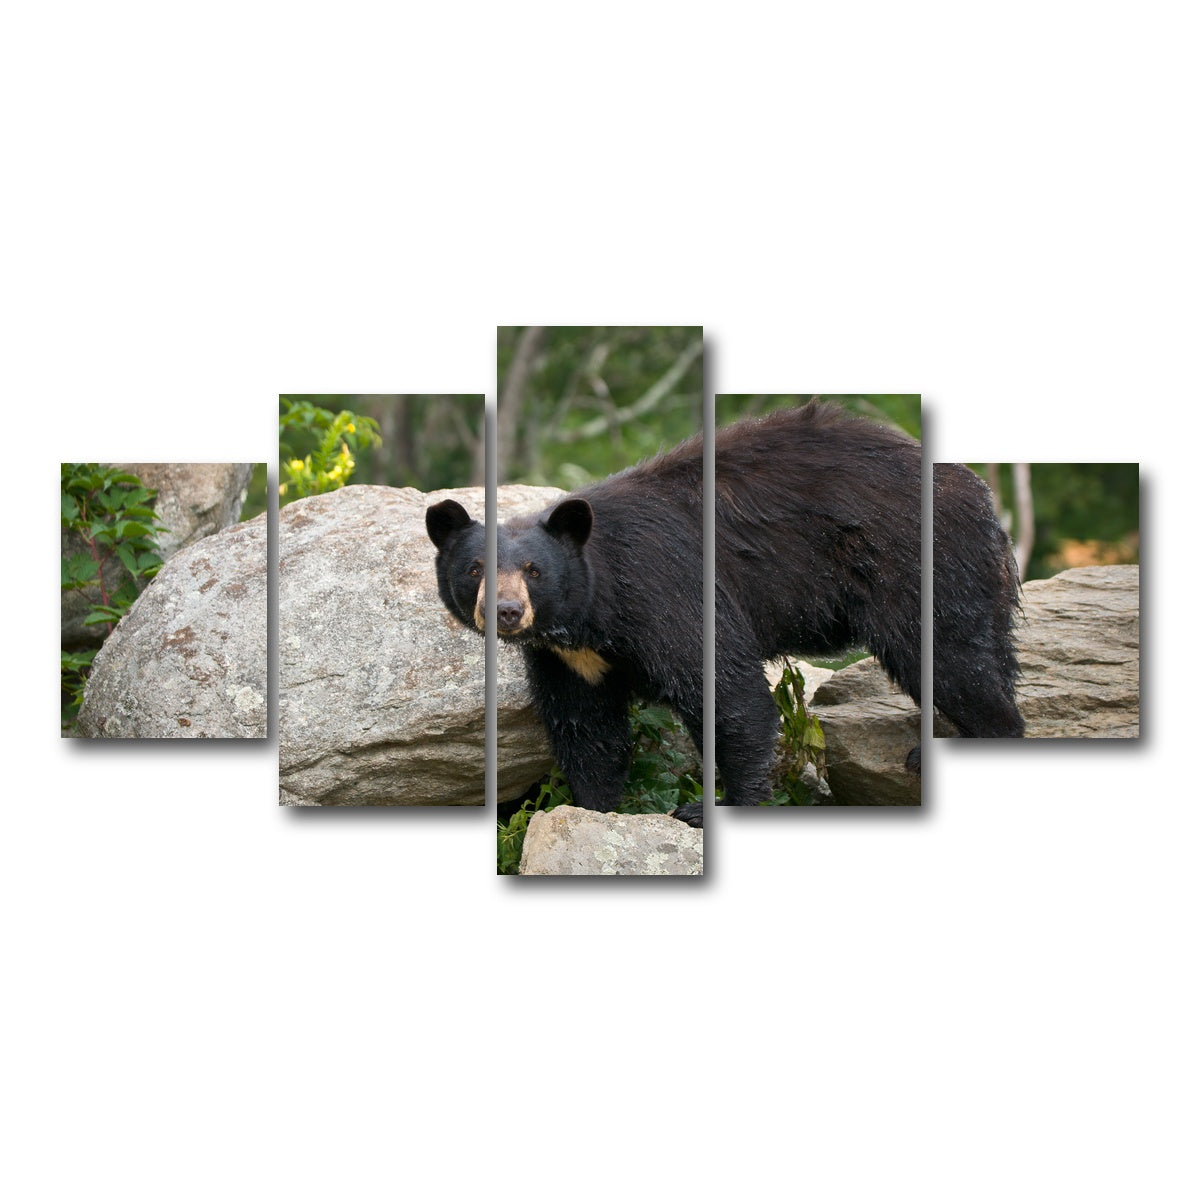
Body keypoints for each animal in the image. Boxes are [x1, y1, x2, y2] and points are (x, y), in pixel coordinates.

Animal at [426, 400, 1023, 822]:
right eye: (475, 569)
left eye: (533, 570)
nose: (505, 612)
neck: (594, 612)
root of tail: (979, 493)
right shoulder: (568, 658)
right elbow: (587, 728)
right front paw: (591, 806)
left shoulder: (664, 588)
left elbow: (727, 693)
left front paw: (710, 807)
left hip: (916, 563)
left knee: (950, 659)